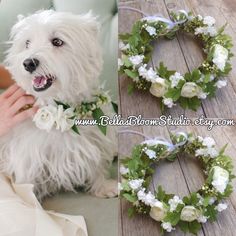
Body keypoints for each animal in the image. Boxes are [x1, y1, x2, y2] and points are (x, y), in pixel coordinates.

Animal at [0, 10, 117, 200]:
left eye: (57, 41)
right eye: (27, 43)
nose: (28, 63)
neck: (60, 108)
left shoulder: (93, 139)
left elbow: (96, 162)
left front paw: (103, 186)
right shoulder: (26, 156)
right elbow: (26, 182)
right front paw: (31, 203)